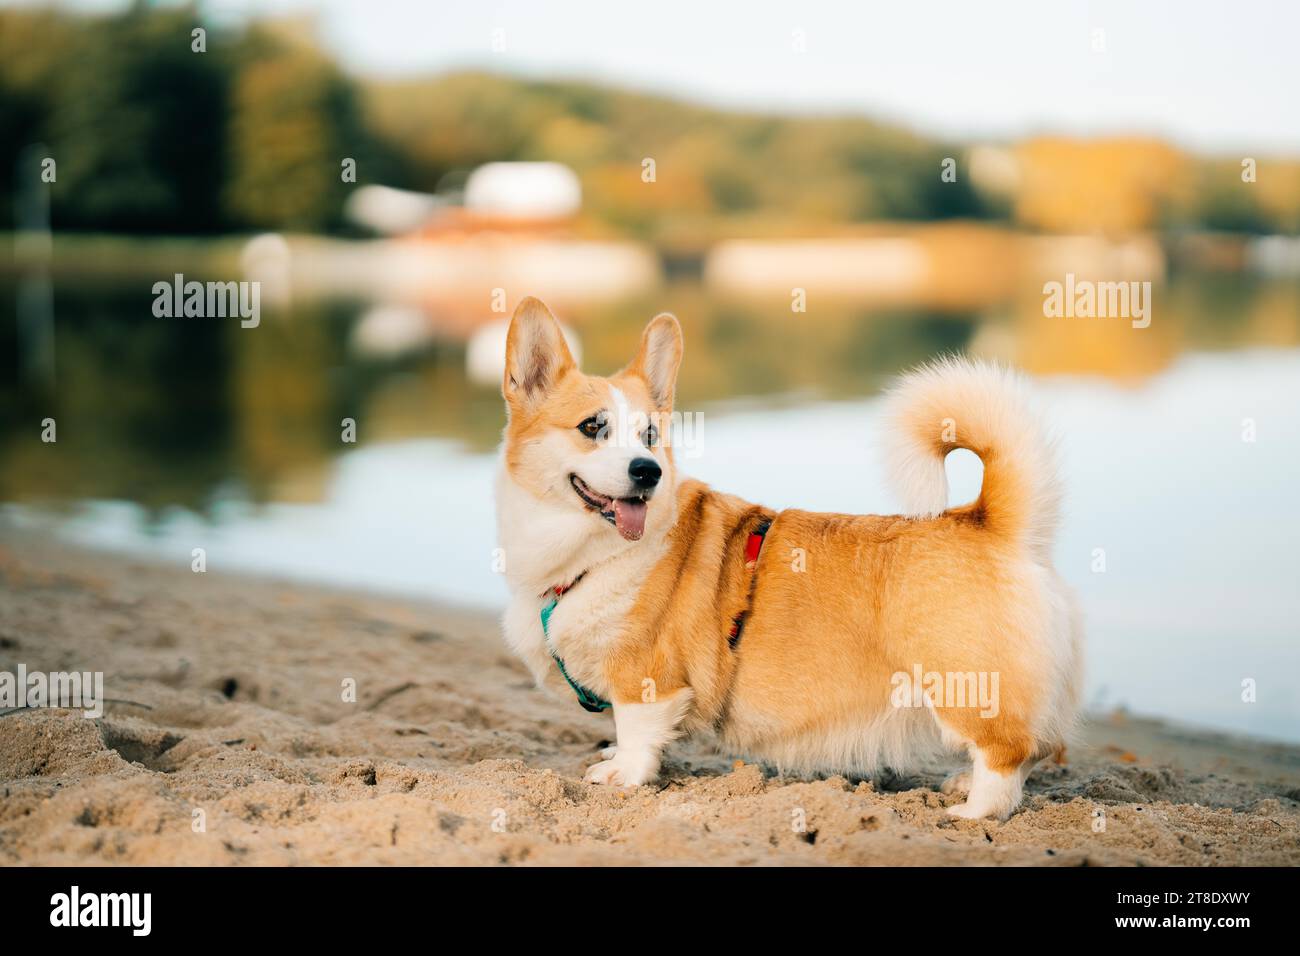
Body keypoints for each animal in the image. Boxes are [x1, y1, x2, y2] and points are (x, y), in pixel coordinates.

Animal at [491, 295, 1081, 816]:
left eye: (650, 435)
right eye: (593, 426)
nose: (648, 472)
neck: (589, 554)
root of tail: (991, 520)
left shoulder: (645, 676)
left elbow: (636, 730)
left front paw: (622, 774)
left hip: (961, 685)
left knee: (1008, 753)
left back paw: (973, 812)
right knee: (1039, 745)